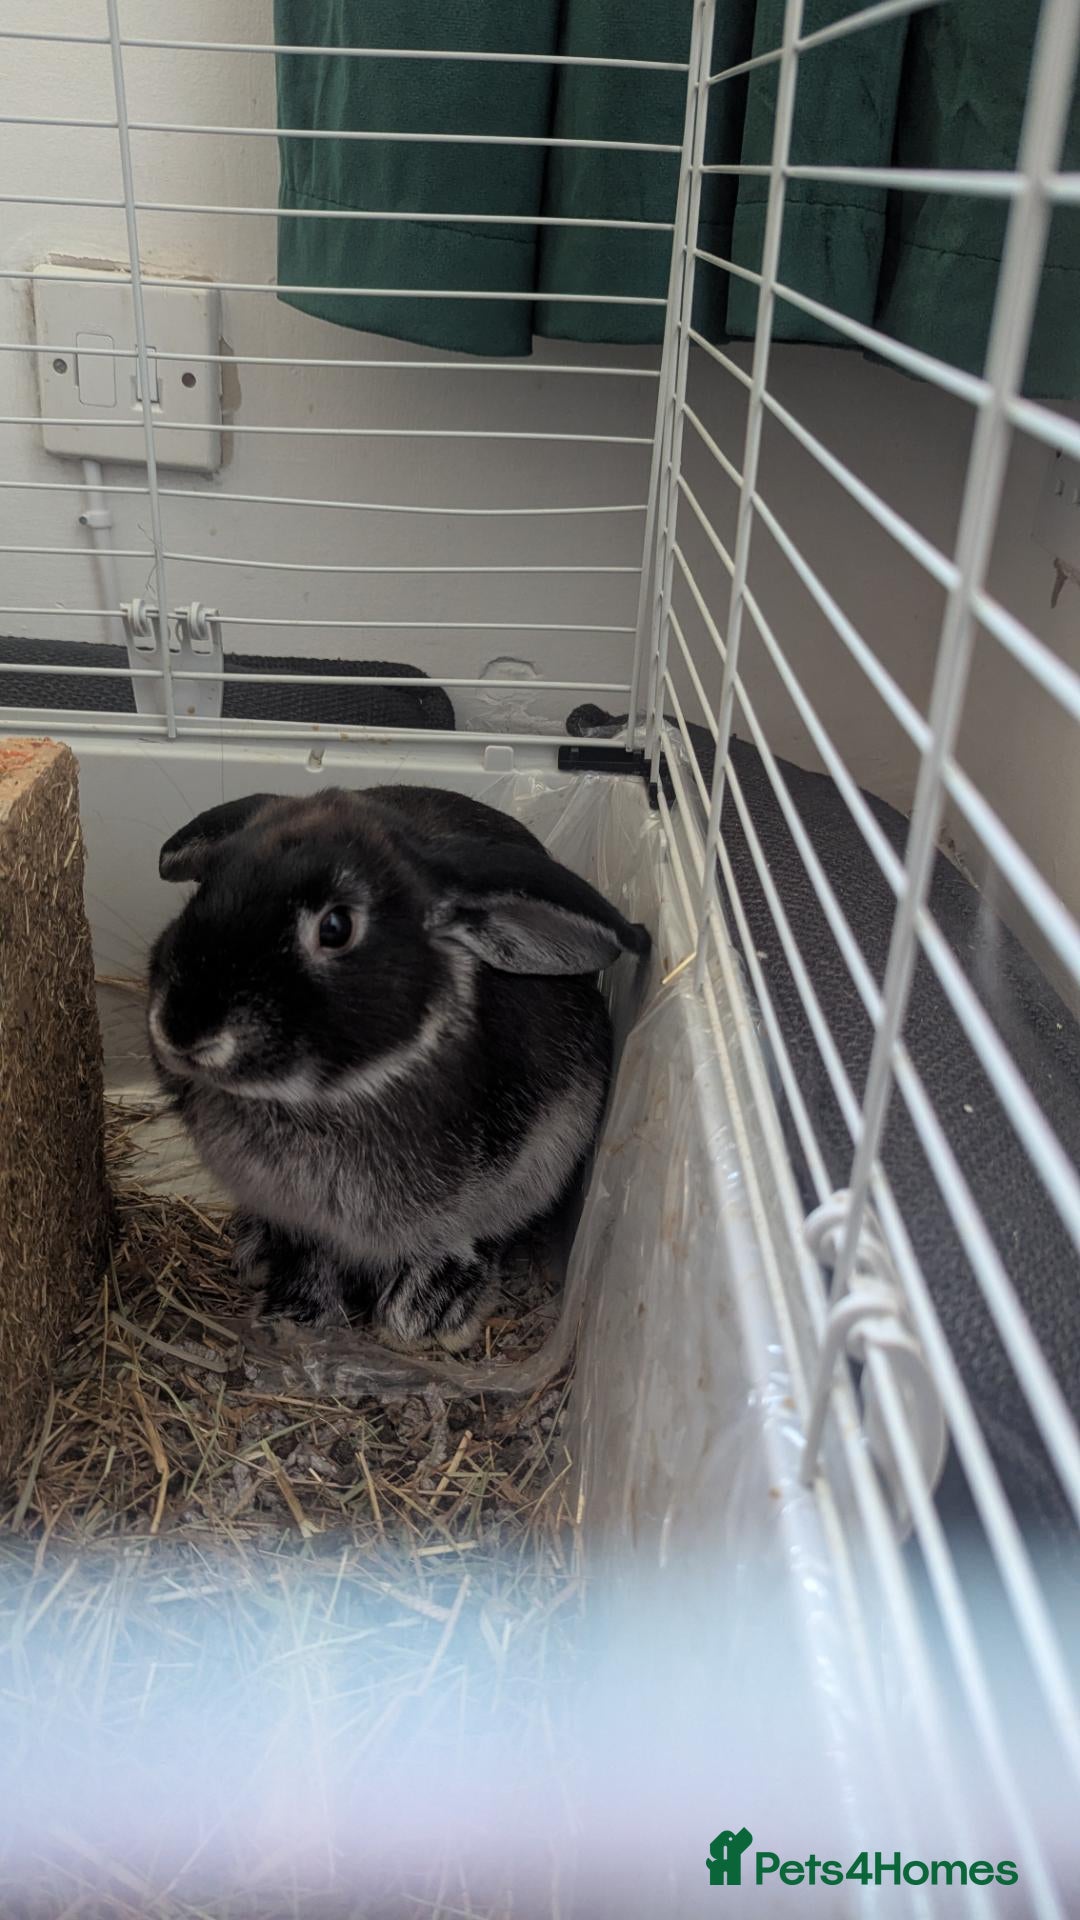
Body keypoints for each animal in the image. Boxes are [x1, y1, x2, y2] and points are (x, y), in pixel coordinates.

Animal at [147, 784, 650, 1350]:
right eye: (205, 888)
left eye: (336, 928)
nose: (182, 1028)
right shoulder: (306, 1224)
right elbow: (311, 1256)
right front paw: (295, 1314)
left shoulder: (518, 1172)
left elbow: (469, 1237)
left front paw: (421, 1314)